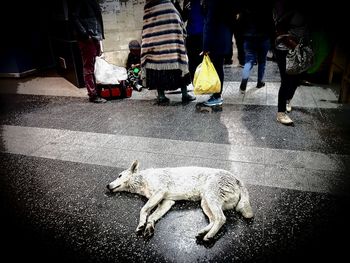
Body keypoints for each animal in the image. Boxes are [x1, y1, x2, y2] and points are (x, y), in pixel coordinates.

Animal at [105, 160, 253, 242]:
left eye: (119, 175)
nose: (107, 185)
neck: (143, 180)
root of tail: (237, 179)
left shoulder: (159, 193)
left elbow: (143, 210)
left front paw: (142, 224)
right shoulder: (166, 202)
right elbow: (152, 216)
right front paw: (149, 227)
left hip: (211, 197)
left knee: (221, 219)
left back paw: (209, 236)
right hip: (205, 203)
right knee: (214, 220)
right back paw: (203, 232)